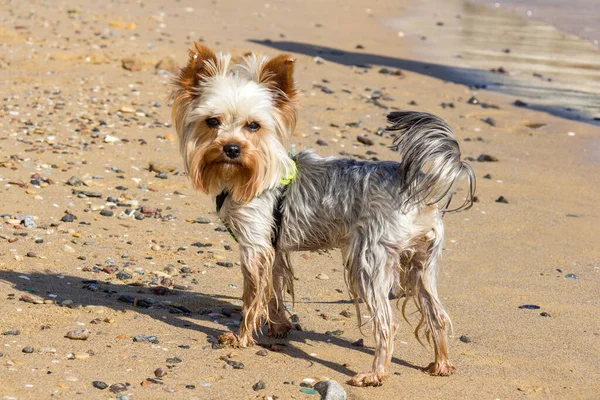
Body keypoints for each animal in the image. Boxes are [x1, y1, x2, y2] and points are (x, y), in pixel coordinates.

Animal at [171, 43, 476, 388]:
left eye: (253, 126)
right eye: (212, 122)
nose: (232, 148)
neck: (251, 172)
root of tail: (417, 185)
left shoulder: (254, 246)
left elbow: (252, 296)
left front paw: (241, 337)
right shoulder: (274, 248)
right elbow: (274, 289)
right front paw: (279, 325)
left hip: (369, 260)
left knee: (387, 322)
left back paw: (375, 373)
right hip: (421, 264)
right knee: (436, 313)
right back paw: (441, 364)